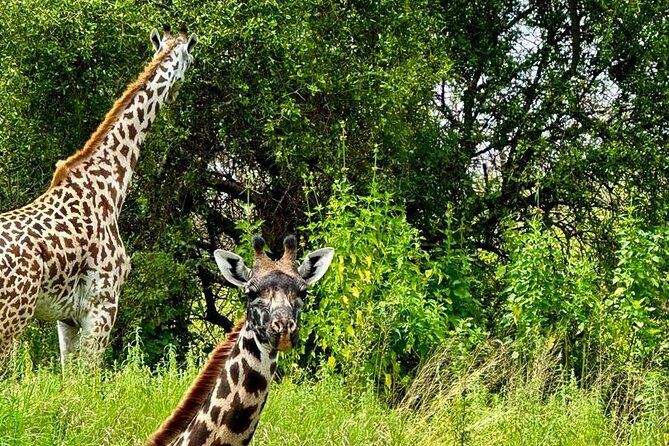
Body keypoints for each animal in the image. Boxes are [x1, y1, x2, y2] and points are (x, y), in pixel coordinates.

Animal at [0, 26, 197, 368]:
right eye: (191, 57)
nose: (178, 91)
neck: (110, 185)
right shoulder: (103, 305)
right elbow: (89, 376)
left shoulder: (67, 317)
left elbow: (70, 376)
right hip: (13, 316)